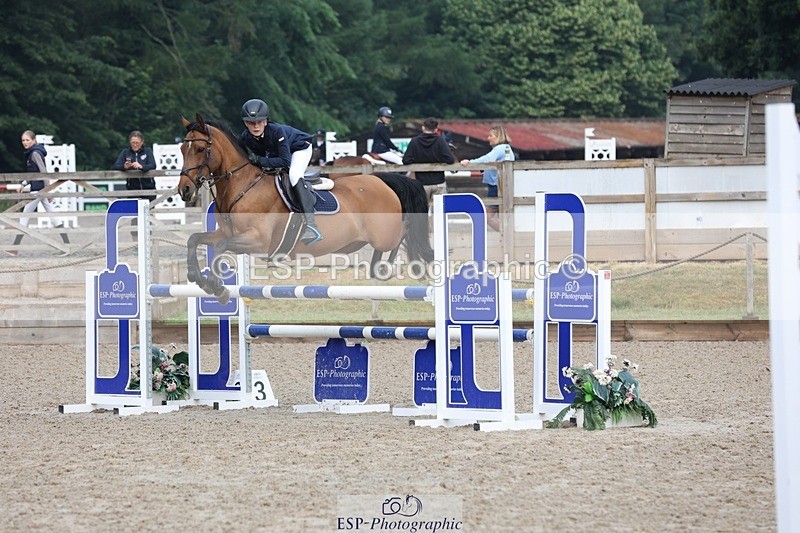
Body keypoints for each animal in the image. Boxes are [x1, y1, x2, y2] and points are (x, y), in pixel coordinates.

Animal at [178, 114, 433, 302]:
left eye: (199, 149)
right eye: (181, 150)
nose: (185, 190)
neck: (243, 185)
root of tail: (381, 180)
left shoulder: (257, 241)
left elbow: (221, 247)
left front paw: (215, 286)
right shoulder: (227, 233)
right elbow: (194, 239)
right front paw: (196, 277)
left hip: (385, 234)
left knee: (405, 232)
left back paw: (386, 267)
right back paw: (377, 267)